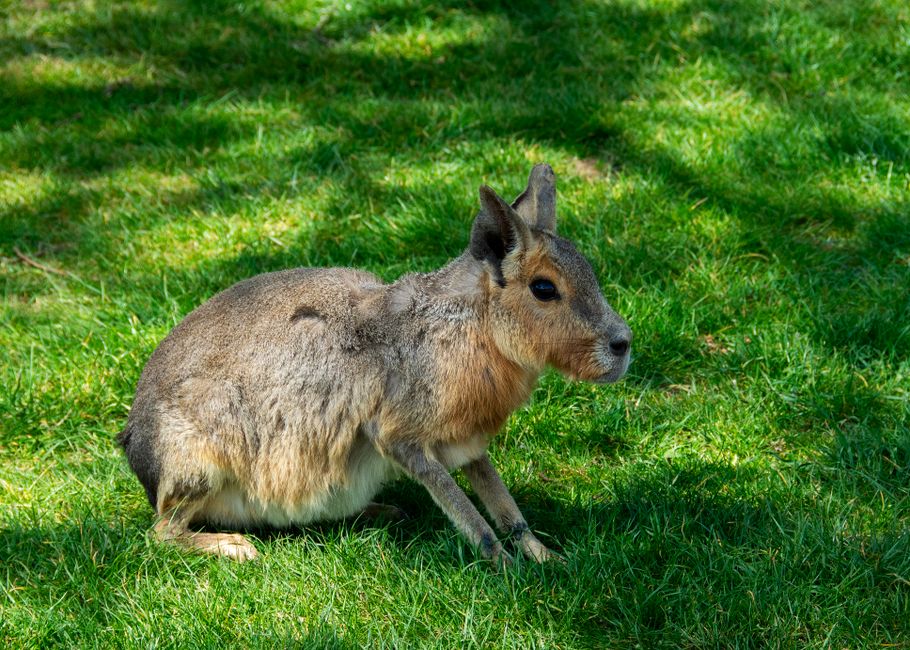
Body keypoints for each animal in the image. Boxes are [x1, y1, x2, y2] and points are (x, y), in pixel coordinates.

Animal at [118, 163, 632, 564]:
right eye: (544, 288)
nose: (623, 344)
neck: (468, 334)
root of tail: (133, 447)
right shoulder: (399, 436)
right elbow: (473, 518)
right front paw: (507, 572)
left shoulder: (466, 441)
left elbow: (507, 511)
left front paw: (550, 559)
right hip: (198, 464)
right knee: (160, 533)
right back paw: (235, 546)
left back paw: (382, 512)